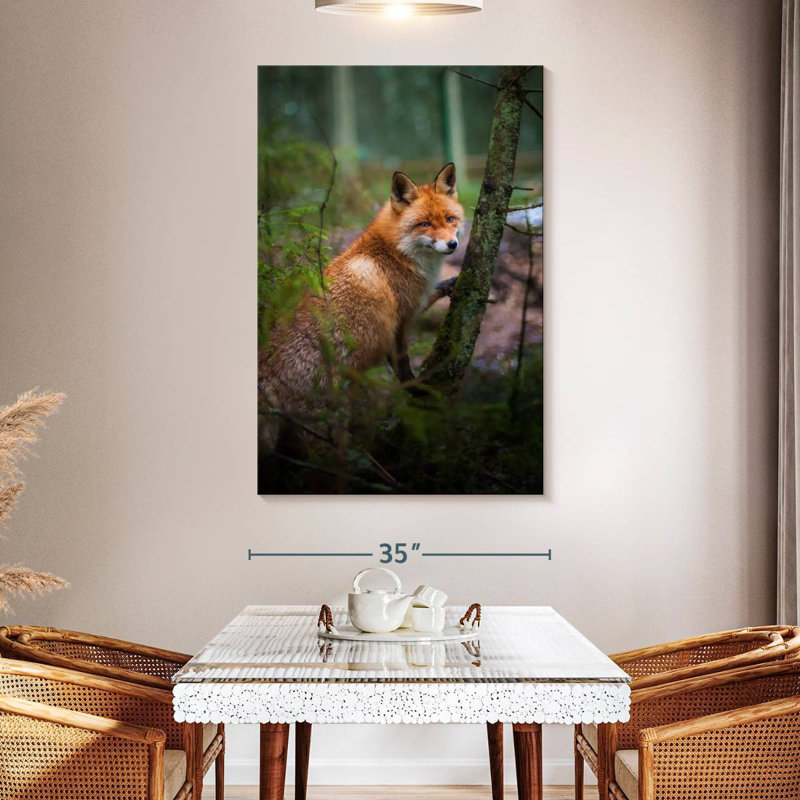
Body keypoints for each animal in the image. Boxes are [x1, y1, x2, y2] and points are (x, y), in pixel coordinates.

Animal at [258, 162, 463, 428]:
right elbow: (403, 367)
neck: (395, 252)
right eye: (425, 224)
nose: (452, 245)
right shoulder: (399, 321)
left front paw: (450, 283)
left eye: (450, 219)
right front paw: (417, 390)